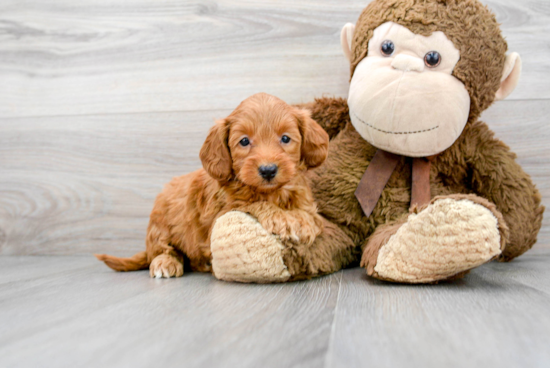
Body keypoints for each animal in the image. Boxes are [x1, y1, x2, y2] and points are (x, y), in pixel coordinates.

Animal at [95, 93, 330, 278]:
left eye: (285, 138)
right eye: (244, 141)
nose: (268, 170)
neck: (271, 192)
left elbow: (312, 216)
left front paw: (303, 222)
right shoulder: (222, 213)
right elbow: (252, 204)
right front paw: (284, 219)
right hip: (160, 222)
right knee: (163, 249)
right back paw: (166, 263)